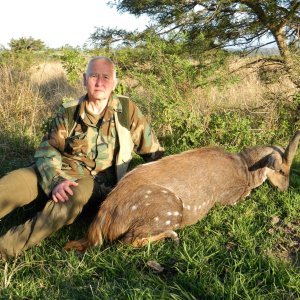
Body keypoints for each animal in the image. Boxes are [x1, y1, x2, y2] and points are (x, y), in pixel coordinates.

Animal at [64, 131, 298, 251]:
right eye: (282, 169)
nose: (285, 190)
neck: (245, 168)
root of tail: (101, 220)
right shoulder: (229, 197)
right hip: (170, 210)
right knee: (128, 242)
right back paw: (172, 236)